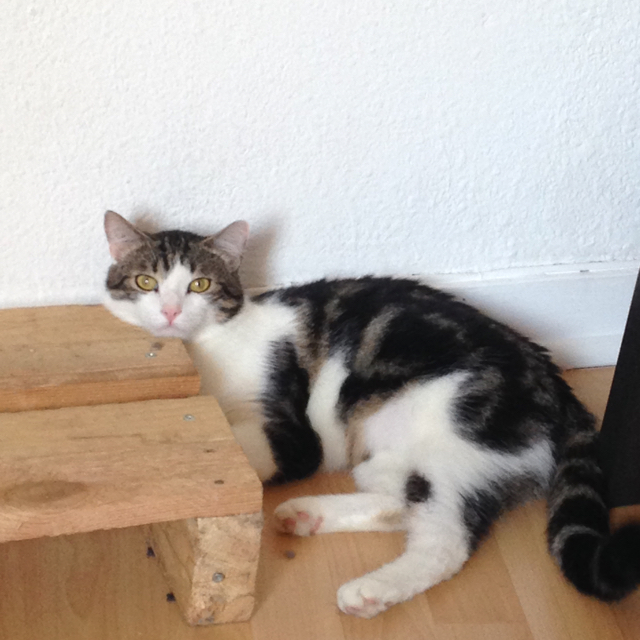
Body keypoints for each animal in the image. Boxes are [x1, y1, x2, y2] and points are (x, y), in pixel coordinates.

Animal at [103, 210, 640, 618]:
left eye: (200, 284)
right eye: (146, 282)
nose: (170, 312)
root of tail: (554, 380)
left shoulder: (296, 436)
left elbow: (248, 445)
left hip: (451, 431)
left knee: (444, 538)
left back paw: (370, 590)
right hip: (395, 451)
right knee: (400, 499)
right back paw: (308, 515)